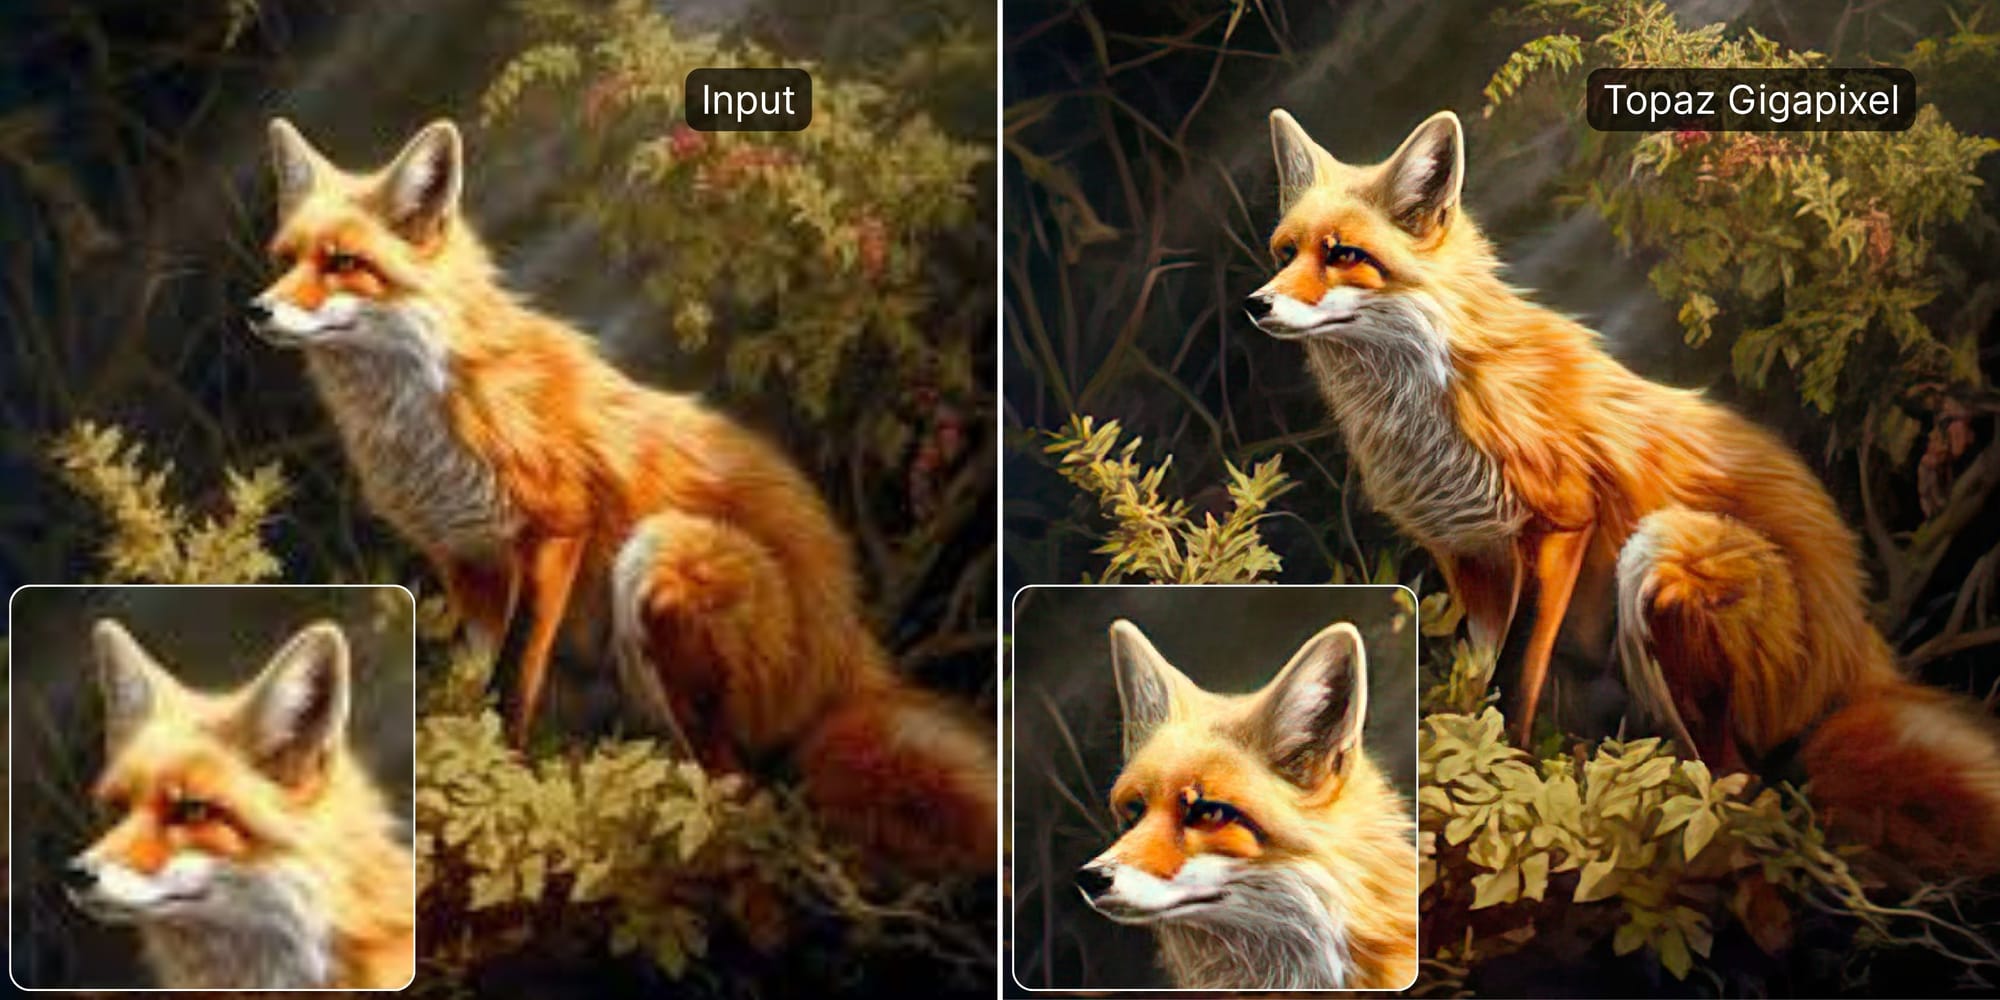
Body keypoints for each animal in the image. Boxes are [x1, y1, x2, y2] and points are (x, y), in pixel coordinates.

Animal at [244, 118, 995, 874]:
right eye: (284, 258)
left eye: (342, 262)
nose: (256, 309)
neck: (428, 410)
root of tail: (849, 639)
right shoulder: (463, 560)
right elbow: (494, 679)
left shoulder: (554, 528)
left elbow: (512, 682)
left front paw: (499, 782)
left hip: (660, 557)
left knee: (744, 786)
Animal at [1245, 108, 2000, 872]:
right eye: (1285, 251)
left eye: (1343, 254)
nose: (1256, 304)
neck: (1431, 400)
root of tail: (1861, 648)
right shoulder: (1470, 559)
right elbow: (1480, 673)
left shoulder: (1558, 523)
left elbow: (1512, 680)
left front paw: (1500, 781)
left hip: (1662, 557)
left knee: (1749, 783)